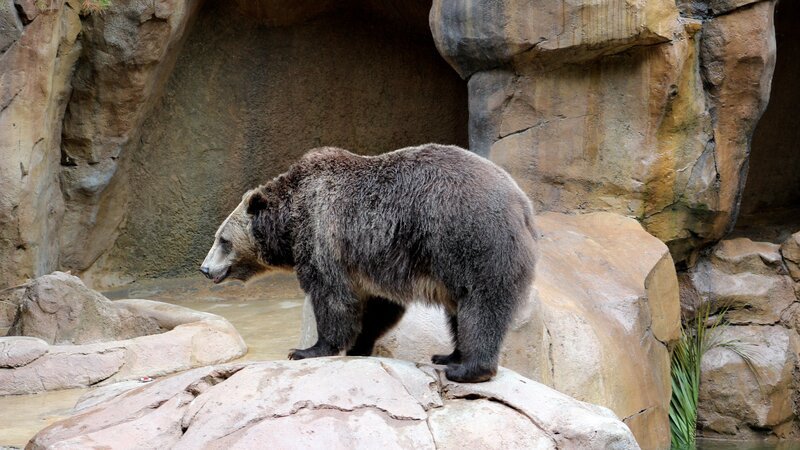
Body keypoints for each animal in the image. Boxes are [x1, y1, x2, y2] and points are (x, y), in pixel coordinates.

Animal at [200, 144, 538, 383]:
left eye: (222, 240)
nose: (204, 268)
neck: (290, 221)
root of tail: (523, 204)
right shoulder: (371, 261)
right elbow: (379, 306)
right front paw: (359, 346)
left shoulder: (325, 233)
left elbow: (332, 297)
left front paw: (306, 350)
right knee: (460, 310)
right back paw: (449, 356)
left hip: (469, 237)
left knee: (481, 304)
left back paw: (469, 369)